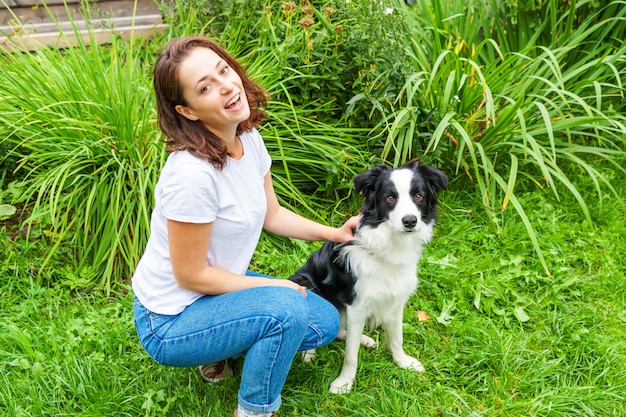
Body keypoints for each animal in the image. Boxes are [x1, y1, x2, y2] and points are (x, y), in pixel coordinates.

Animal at [290, 159, 446, 394]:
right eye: (390, 198)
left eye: (419, 196)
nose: (410, 221)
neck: (391, 249)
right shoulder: (357, 306)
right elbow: (351, 356)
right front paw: (344, 383)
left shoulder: (396, 301)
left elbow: (397, 338)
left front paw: (403, 362)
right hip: (304, 283)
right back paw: (309, 353)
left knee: (341, 331)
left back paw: (364, 339)